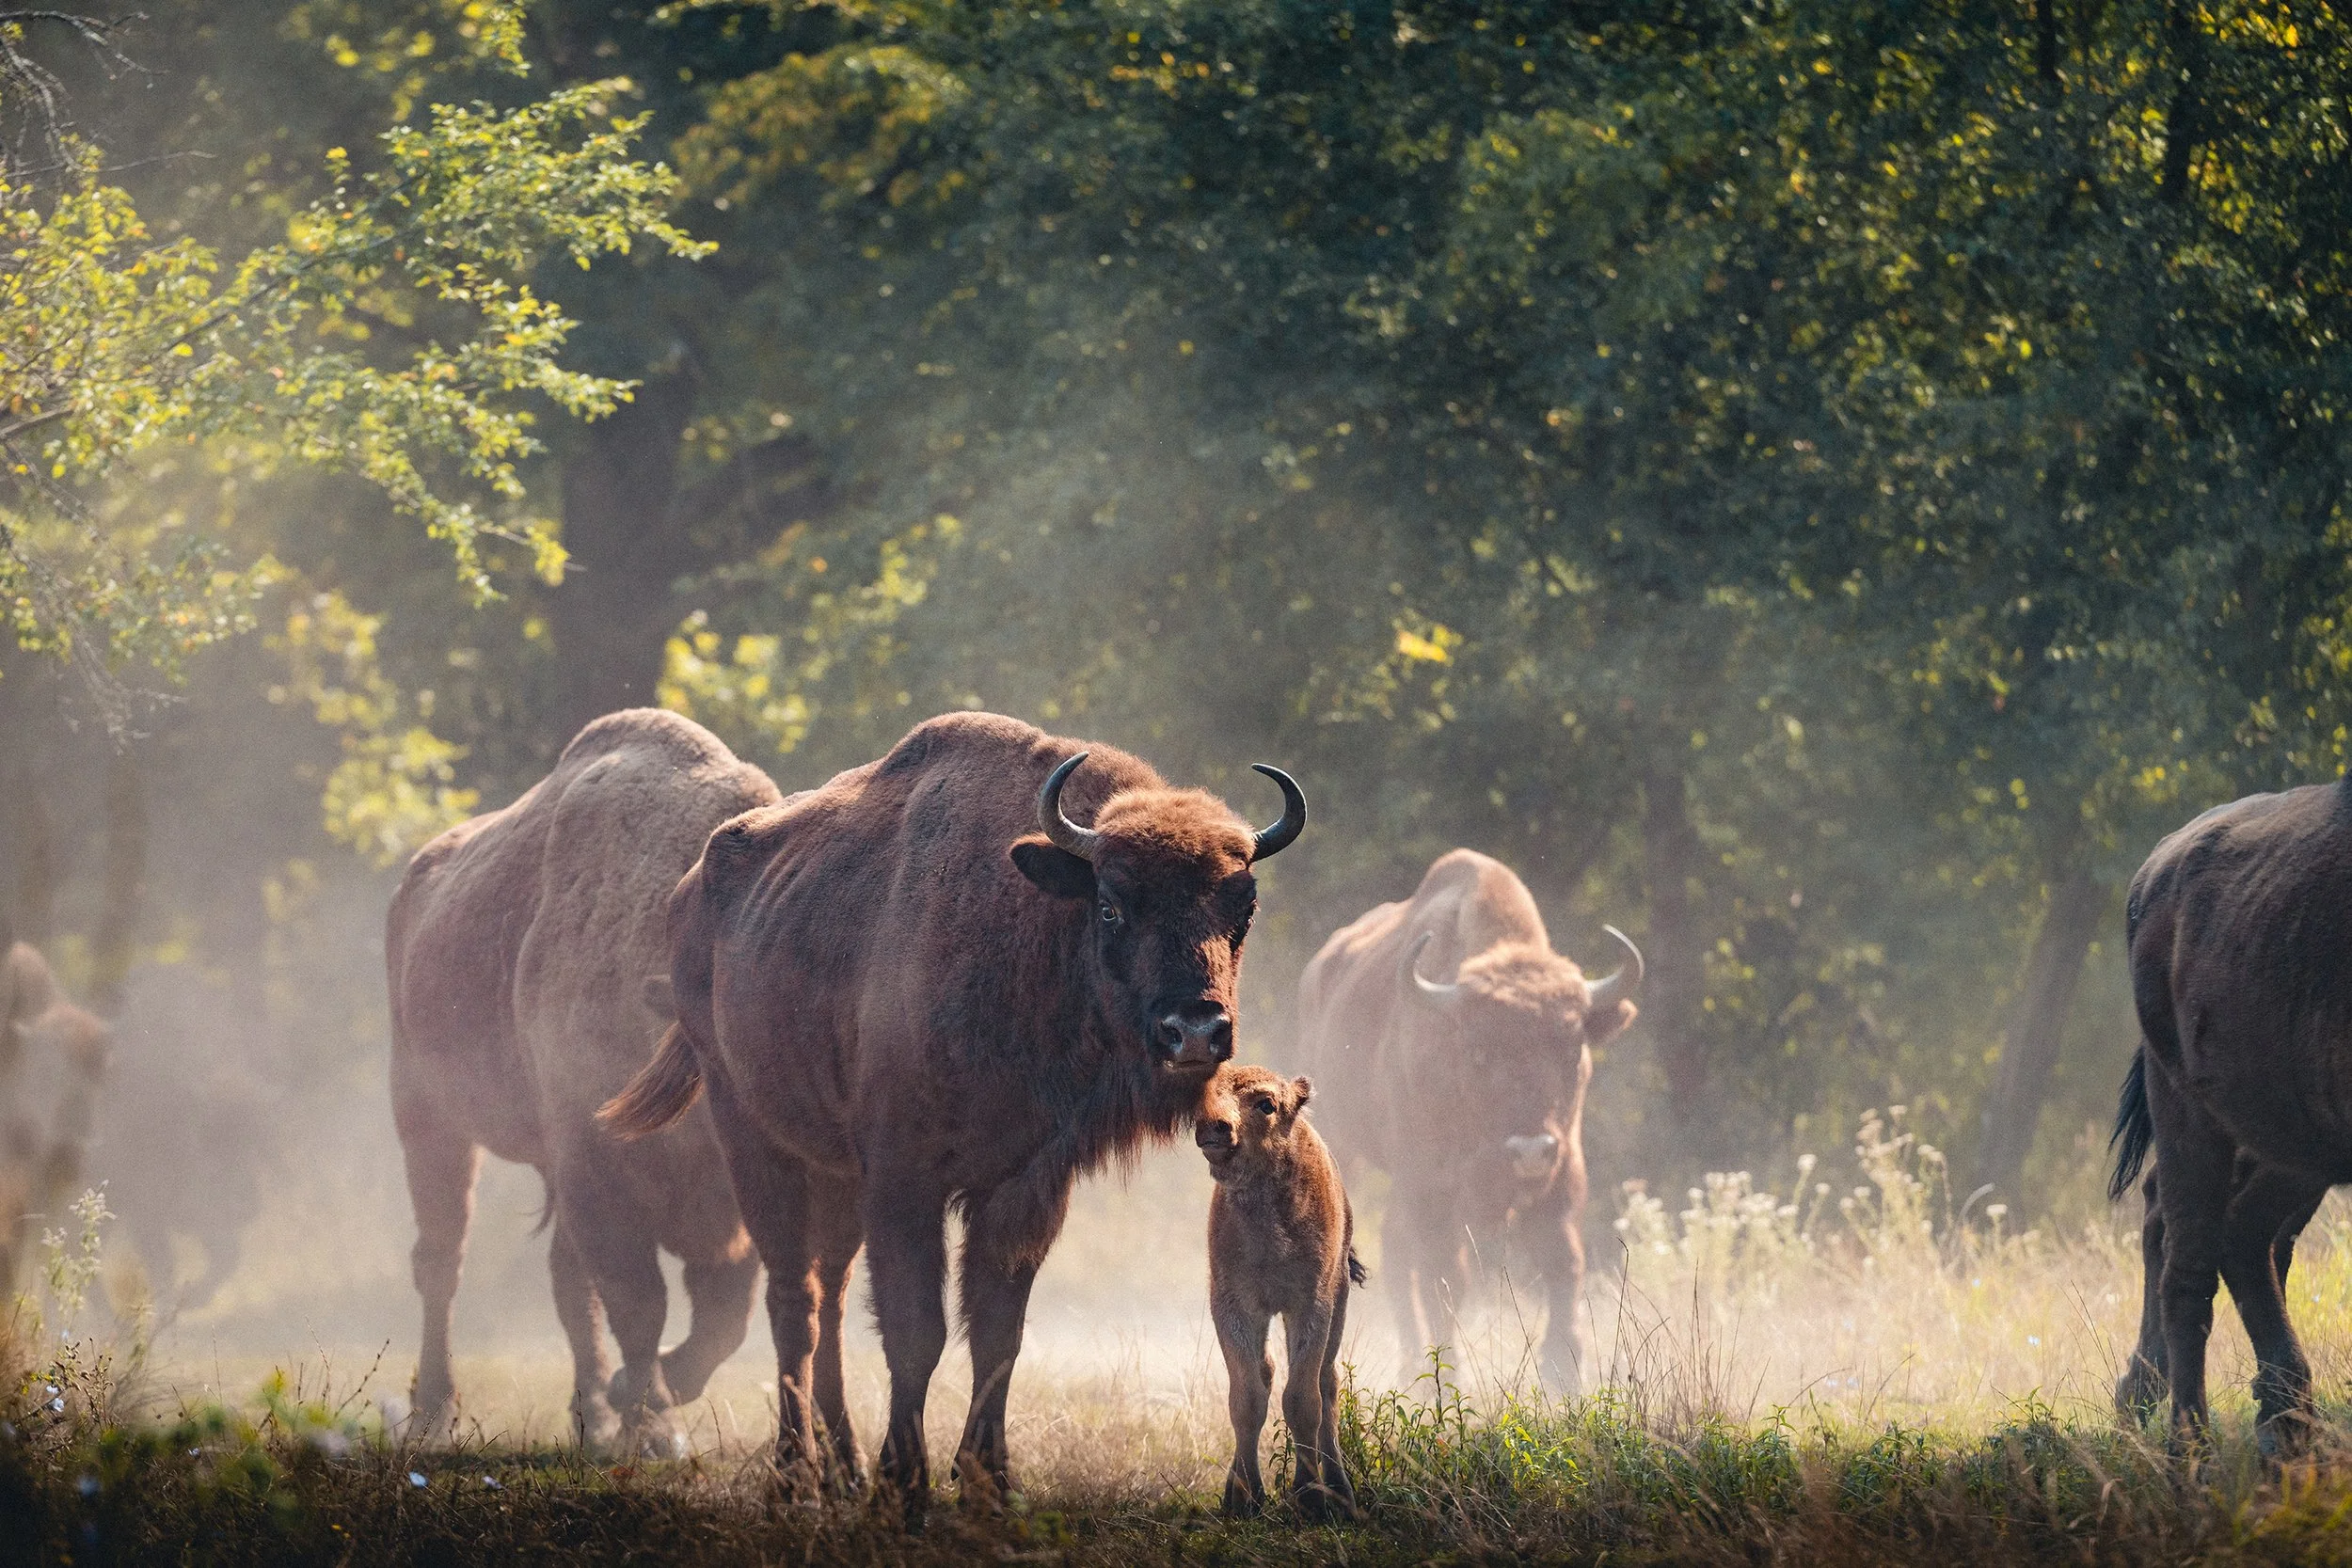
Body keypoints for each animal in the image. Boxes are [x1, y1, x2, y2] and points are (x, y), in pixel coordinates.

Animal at [386, 709, 779, 1453]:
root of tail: (418, 883)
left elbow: (721, 1318)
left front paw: (637, 1402)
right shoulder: (600, 1176)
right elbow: (640, 1304)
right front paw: (653, 1425)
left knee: (564, 1284)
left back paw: (591, 1414)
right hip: (427, 1118)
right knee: (440, 1260)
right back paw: (435, 1411)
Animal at [602, 711, 1305, 1505]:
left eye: (1242, 907)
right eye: (1111, 904)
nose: (1195, 1030)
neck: (1029, 921)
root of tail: (692, 891)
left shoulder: (1024, 1187)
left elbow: (998, 1331)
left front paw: (988, 1479)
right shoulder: (904, 1182)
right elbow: (918, 1331)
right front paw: (905, 1480)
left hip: (835, 1175)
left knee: (830, 1298)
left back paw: (843, 1465)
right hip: (751, 1134)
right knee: (792, 1299)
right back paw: (795, 1473)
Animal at [1296, 849, 1639, 1390]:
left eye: (1571, 1045)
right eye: (1479, 1051)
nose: (1529, 1151)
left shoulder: (1564, 1170)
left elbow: (1563, 1261)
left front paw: (1564, 1372)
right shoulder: (1431, 1188)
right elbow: (1445, 1276)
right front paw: (1449, 1375)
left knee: (1395, 1253)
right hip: (1345, 1146)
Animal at [2108, 779, 2352, 1451]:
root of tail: (2153, 871)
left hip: (2280, 1137)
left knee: (2240, 1234)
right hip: (2191, 1106)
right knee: (2194, 1253)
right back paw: (2188, 1442)